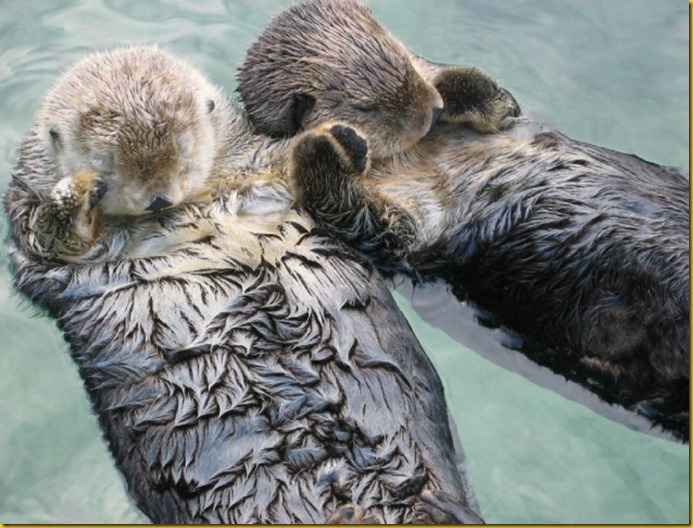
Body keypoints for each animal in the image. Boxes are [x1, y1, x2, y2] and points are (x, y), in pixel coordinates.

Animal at [4, 45, 483, 523]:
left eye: (183, 149)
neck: (195, 205)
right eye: (107, 164)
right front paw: (78, 190)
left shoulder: (259, 168)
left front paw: (340, 137)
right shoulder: (35, 240)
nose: (158, 198)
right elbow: (48, 238)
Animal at [236, 0, 689, 440]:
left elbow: (500, 100)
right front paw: (327, 144)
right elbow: (361, 217)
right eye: (366, 106)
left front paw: (451, 89)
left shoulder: (508, 118)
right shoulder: (404, 234)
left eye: (402, 56)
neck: (418, 153)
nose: (434, 111)